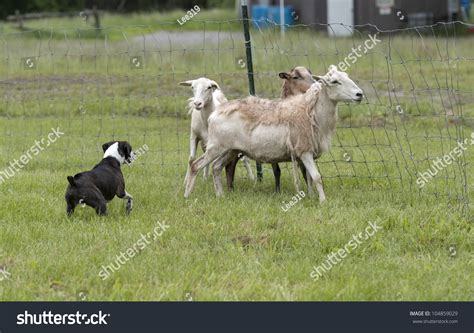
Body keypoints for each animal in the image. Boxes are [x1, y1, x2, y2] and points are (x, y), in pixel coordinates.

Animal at [184, 63, 362, 201]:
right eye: (335, 81)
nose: (359, 94)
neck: (310, 111)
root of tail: (216, 112)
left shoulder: (307, 151)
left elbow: (310, 178)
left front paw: (311, 197)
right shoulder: (303, 150)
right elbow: (317, 177)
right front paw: (323, 201)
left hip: (230, 149)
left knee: (216, 167)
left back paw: (220, 195)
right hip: (216, 147)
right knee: (195, 165)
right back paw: (187, 195)